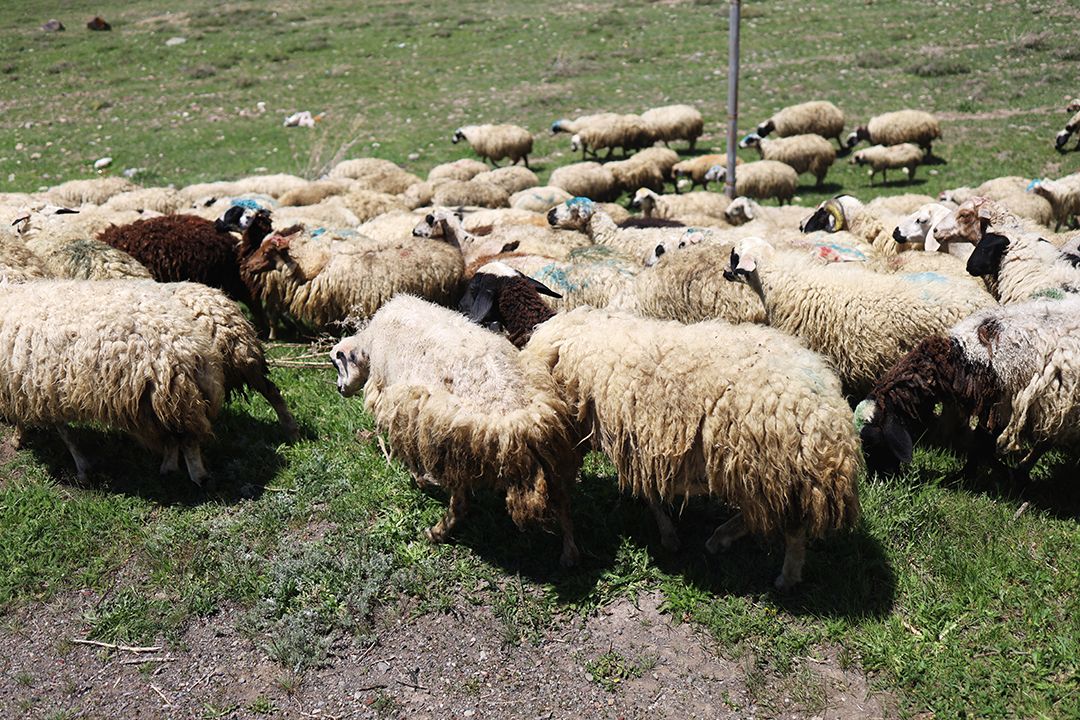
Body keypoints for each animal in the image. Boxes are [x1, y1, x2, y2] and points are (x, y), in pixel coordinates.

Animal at [0, 280, 225, 485]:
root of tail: (192, 347)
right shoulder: (40, 389)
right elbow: (62, 430)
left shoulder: (23, 387)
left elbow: (57, 431)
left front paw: (20, 439)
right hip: (166, 399)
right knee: (173, 437)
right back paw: (169, 468)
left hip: (171, 395)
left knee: (187, 439)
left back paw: (196, 475)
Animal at [330, 295, 581, 566]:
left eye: (337, 364)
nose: (339, 389)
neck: (370, 342)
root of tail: (519, 418)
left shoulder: (404, 411)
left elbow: (410, 455)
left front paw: (420, 480)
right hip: (553, 451)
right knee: (563, 500)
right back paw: (570, 554)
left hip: (456, 445)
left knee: (460, 504)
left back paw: (437, 532)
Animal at [523, 306, 861, 590]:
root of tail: (827, 416)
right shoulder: (643, 443)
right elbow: (651, 493)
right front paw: (669, 532)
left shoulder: (635, 442)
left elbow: (649, 494)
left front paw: (668, 535)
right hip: (774, 473)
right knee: (766, 518)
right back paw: (723, 540)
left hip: (774, 468)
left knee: (788, 528)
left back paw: (783, 576)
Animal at [856, 297, 1080, 480]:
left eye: (871, 442)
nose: (879, 479)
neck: (961, 359)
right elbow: (982, 444)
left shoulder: (1004, 405)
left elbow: (982, 445)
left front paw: (977, 474)